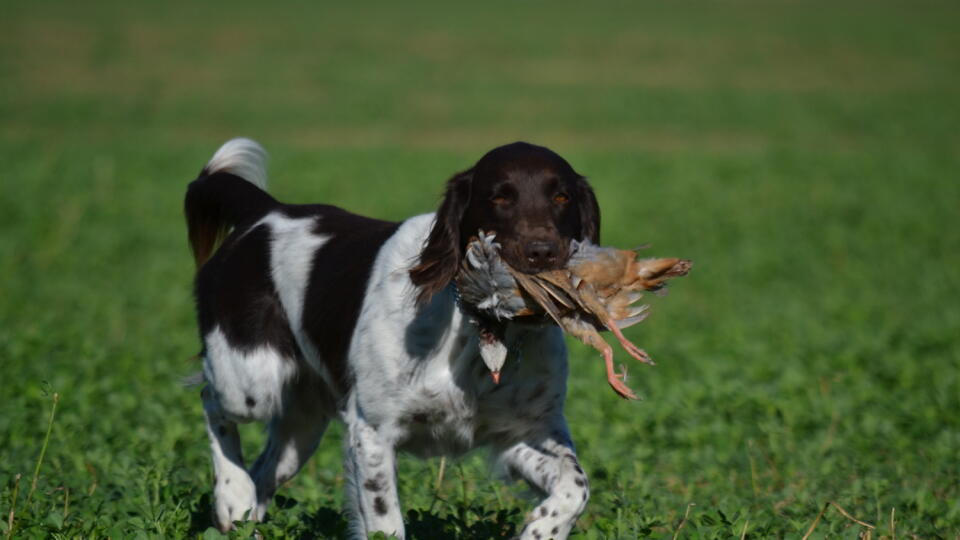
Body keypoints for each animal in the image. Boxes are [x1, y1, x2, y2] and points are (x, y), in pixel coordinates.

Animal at [186, 140, 600, 540]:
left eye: (561, 196)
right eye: (499, 197)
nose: (542, 252)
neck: (482, 333)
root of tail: (266, 212)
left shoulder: (524, 432)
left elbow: (576, 487)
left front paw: (540, 530)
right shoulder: (372, 431)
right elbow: (386, 523)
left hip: (302, 422)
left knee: (264, 471)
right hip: (252, 381)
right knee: (211, 401)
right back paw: (232, 496)